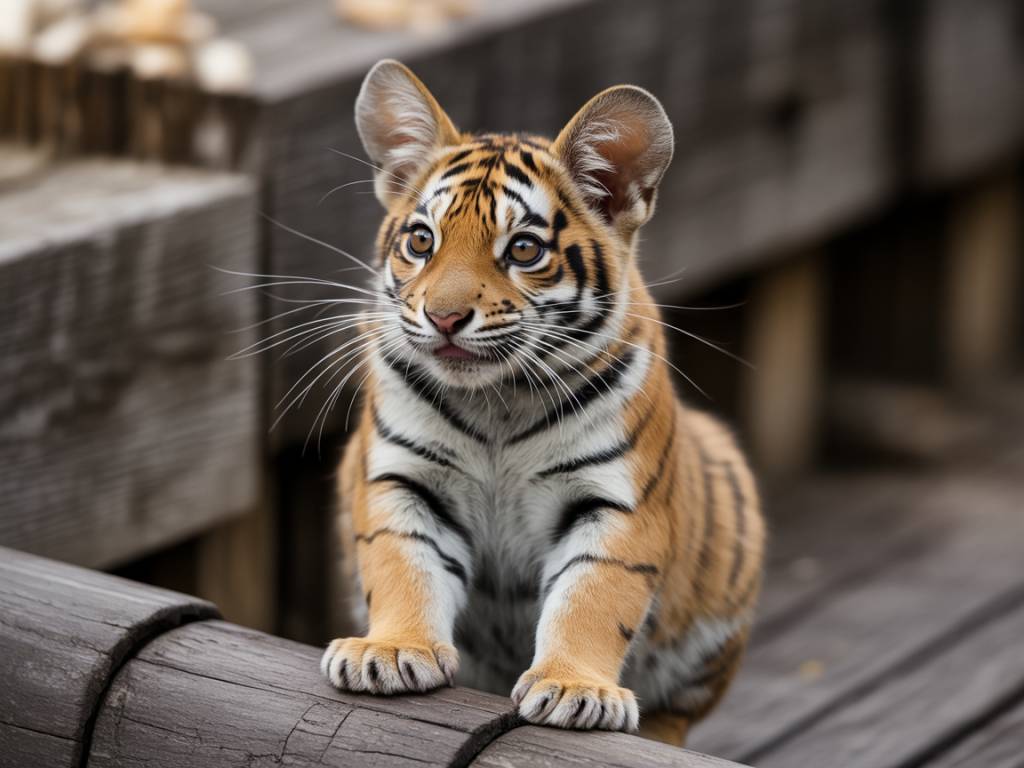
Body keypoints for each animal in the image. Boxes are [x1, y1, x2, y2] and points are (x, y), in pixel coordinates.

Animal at [319, 59, 765, 746]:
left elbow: (592, 596)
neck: (498, 402)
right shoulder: (400, 476)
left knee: (674, 714)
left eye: (523, 250)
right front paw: (390, 651)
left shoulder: (615, 501)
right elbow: (402, 564)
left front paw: (574, 688)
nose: (443, 317)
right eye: (421, 241)